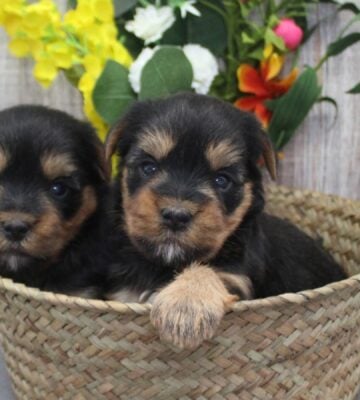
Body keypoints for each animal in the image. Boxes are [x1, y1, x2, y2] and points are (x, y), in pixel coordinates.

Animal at [104, 92, 346, 348]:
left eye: (222, 180)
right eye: (148, 167)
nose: (176, 215)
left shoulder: (241, 279)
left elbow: (211, 270)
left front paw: (185, 306)